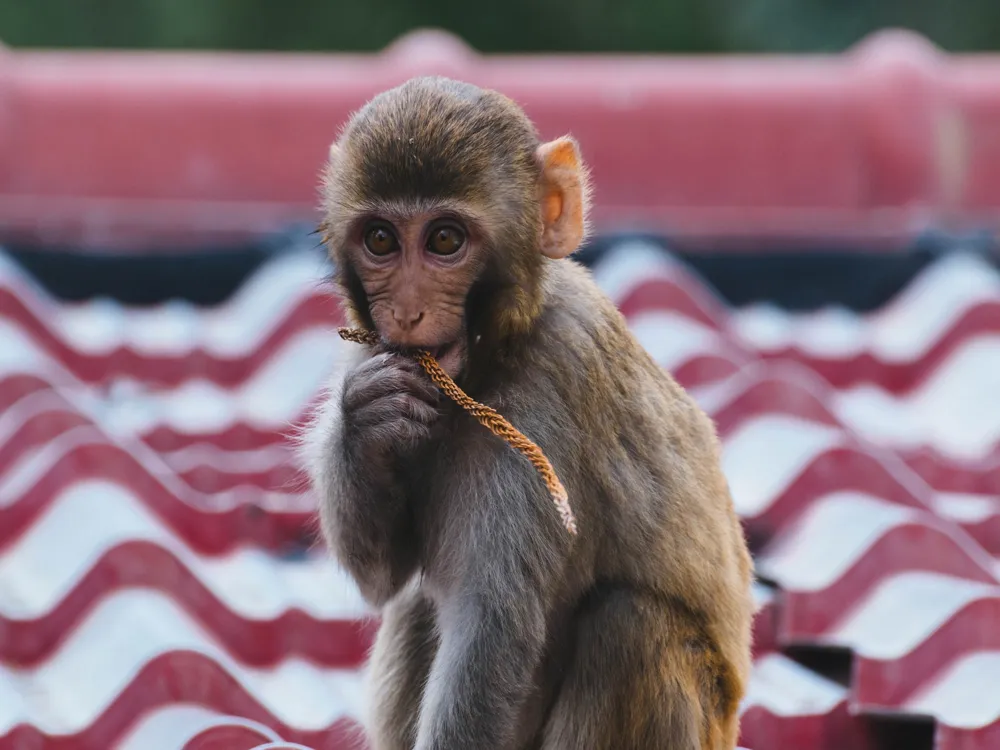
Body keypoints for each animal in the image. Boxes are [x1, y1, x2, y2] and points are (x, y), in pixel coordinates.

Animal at [300, 78, 752, 750]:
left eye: (444, 240)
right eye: (381, 240)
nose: (405, 312)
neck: (499, 348)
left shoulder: (550, 391)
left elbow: (489, 628)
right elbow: (387, 574)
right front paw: (365, 416)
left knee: (630, 626)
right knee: (417, 603)